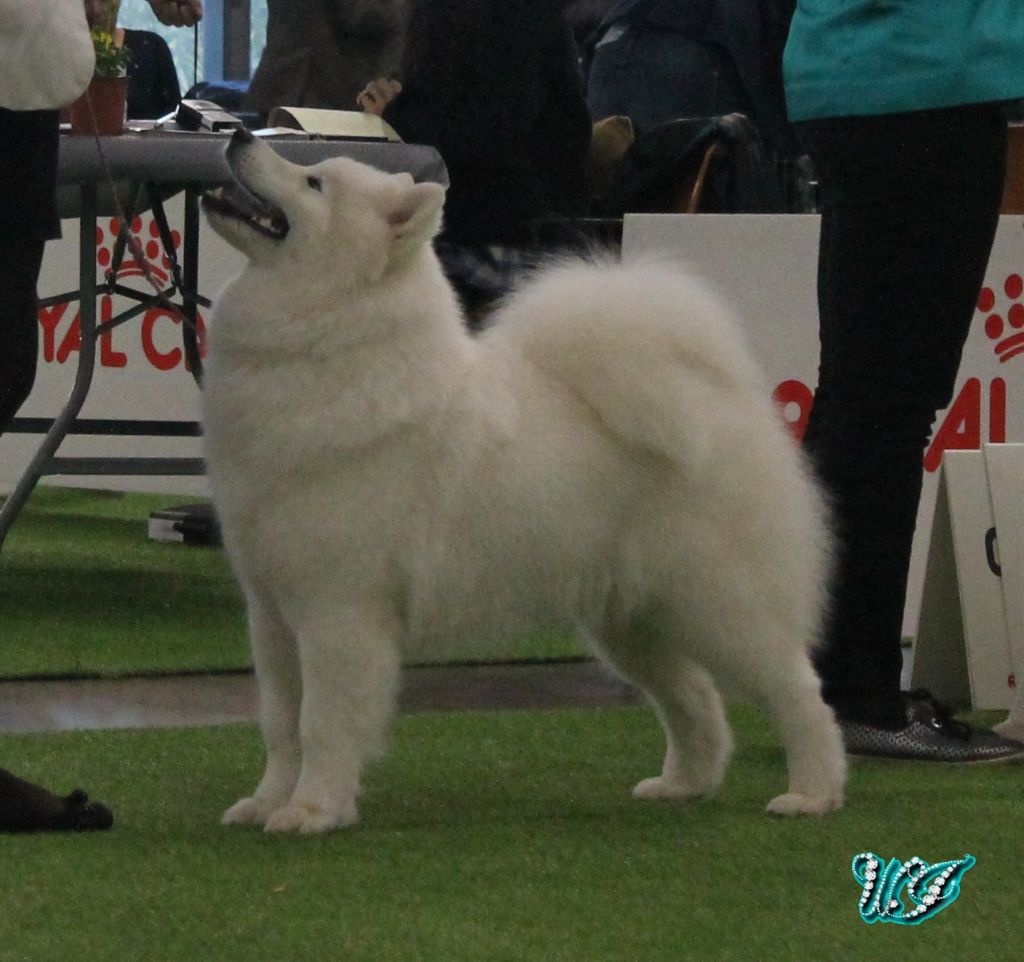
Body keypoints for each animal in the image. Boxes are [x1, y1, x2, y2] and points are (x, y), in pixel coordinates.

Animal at [201, 128, 847, 835]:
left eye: (314, 182)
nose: (237, 135)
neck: (332, 344)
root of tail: (725, 398)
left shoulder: (337, 610)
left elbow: (322, 723)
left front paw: (313, 809)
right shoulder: (272, 612)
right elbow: (279, 724)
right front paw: (267, 801)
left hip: (724, 605)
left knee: (800, 694)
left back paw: (813, 794)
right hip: (633, 622)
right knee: (696, 697)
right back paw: (683, 784)